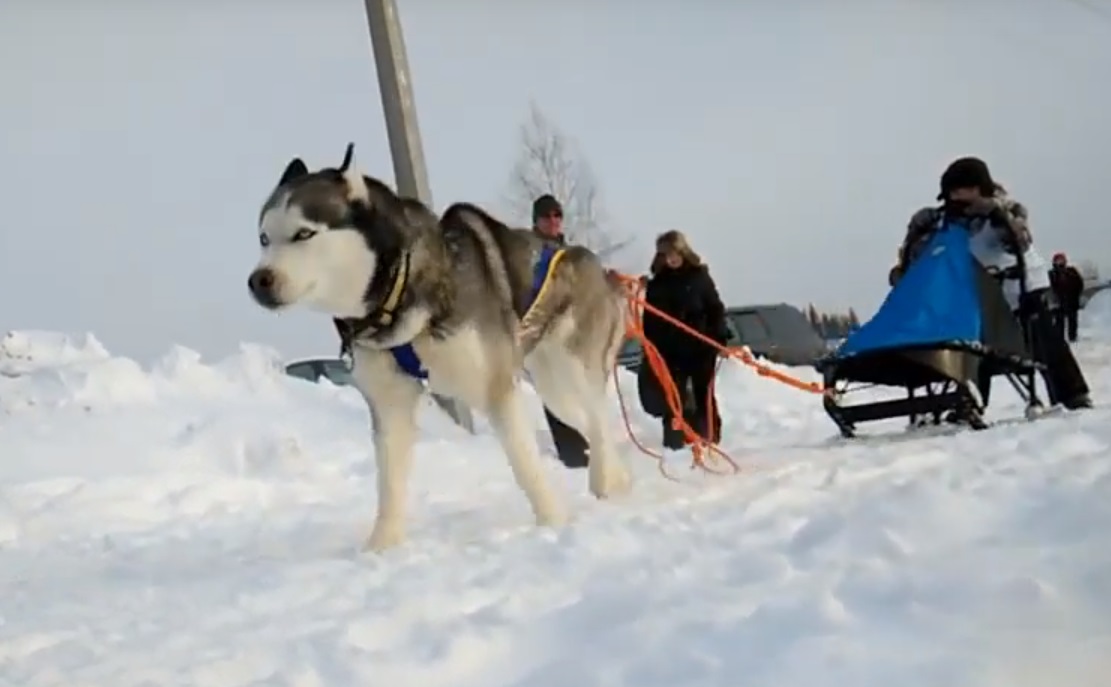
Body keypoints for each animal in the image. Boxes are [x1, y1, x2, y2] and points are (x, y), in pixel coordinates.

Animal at [251, 144, 635, 551]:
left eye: (304, 233)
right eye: (263, 238)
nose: (258, 281)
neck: (398, 295)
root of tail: (595, 263)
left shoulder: (497, 386)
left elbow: (525, 465)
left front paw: (553, 523)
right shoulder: (390, 404)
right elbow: (389, 485)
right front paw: (380, 549)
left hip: (572, 368)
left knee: (598, 419)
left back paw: (604, 482)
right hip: (553, 391)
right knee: (592, 426)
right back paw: (616, 479)